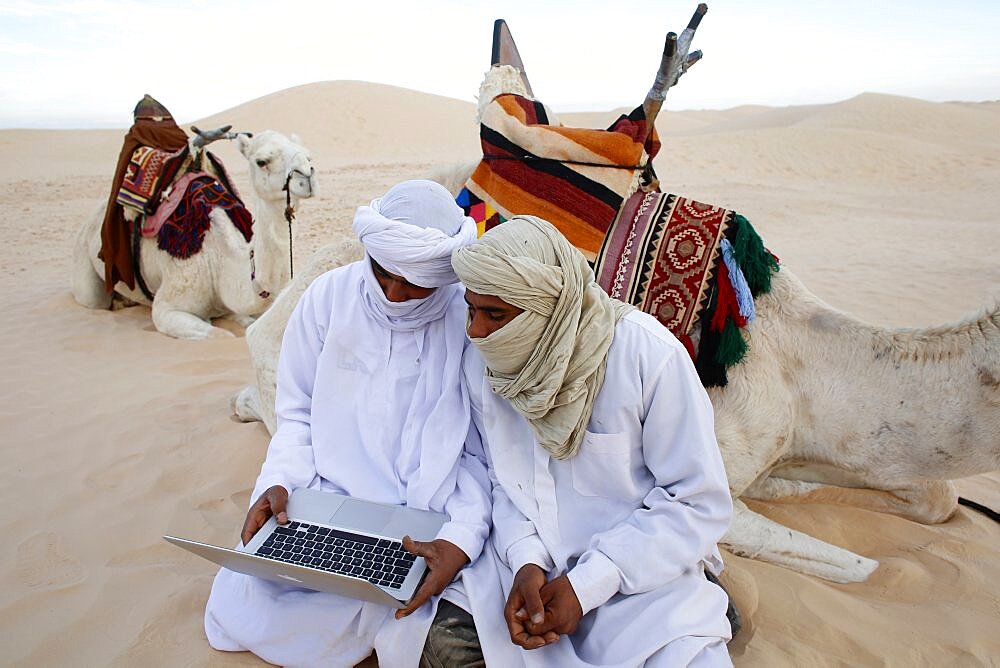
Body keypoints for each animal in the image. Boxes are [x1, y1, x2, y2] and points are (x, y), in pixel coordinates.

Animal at [71, 130, 316, 340]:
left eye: (307, 155)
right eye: (261, 161)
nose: (307, 175)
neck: (218, 260)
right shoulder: (168, 307)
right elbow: (221, 335)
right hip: (86, 266)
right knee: (91, 299)